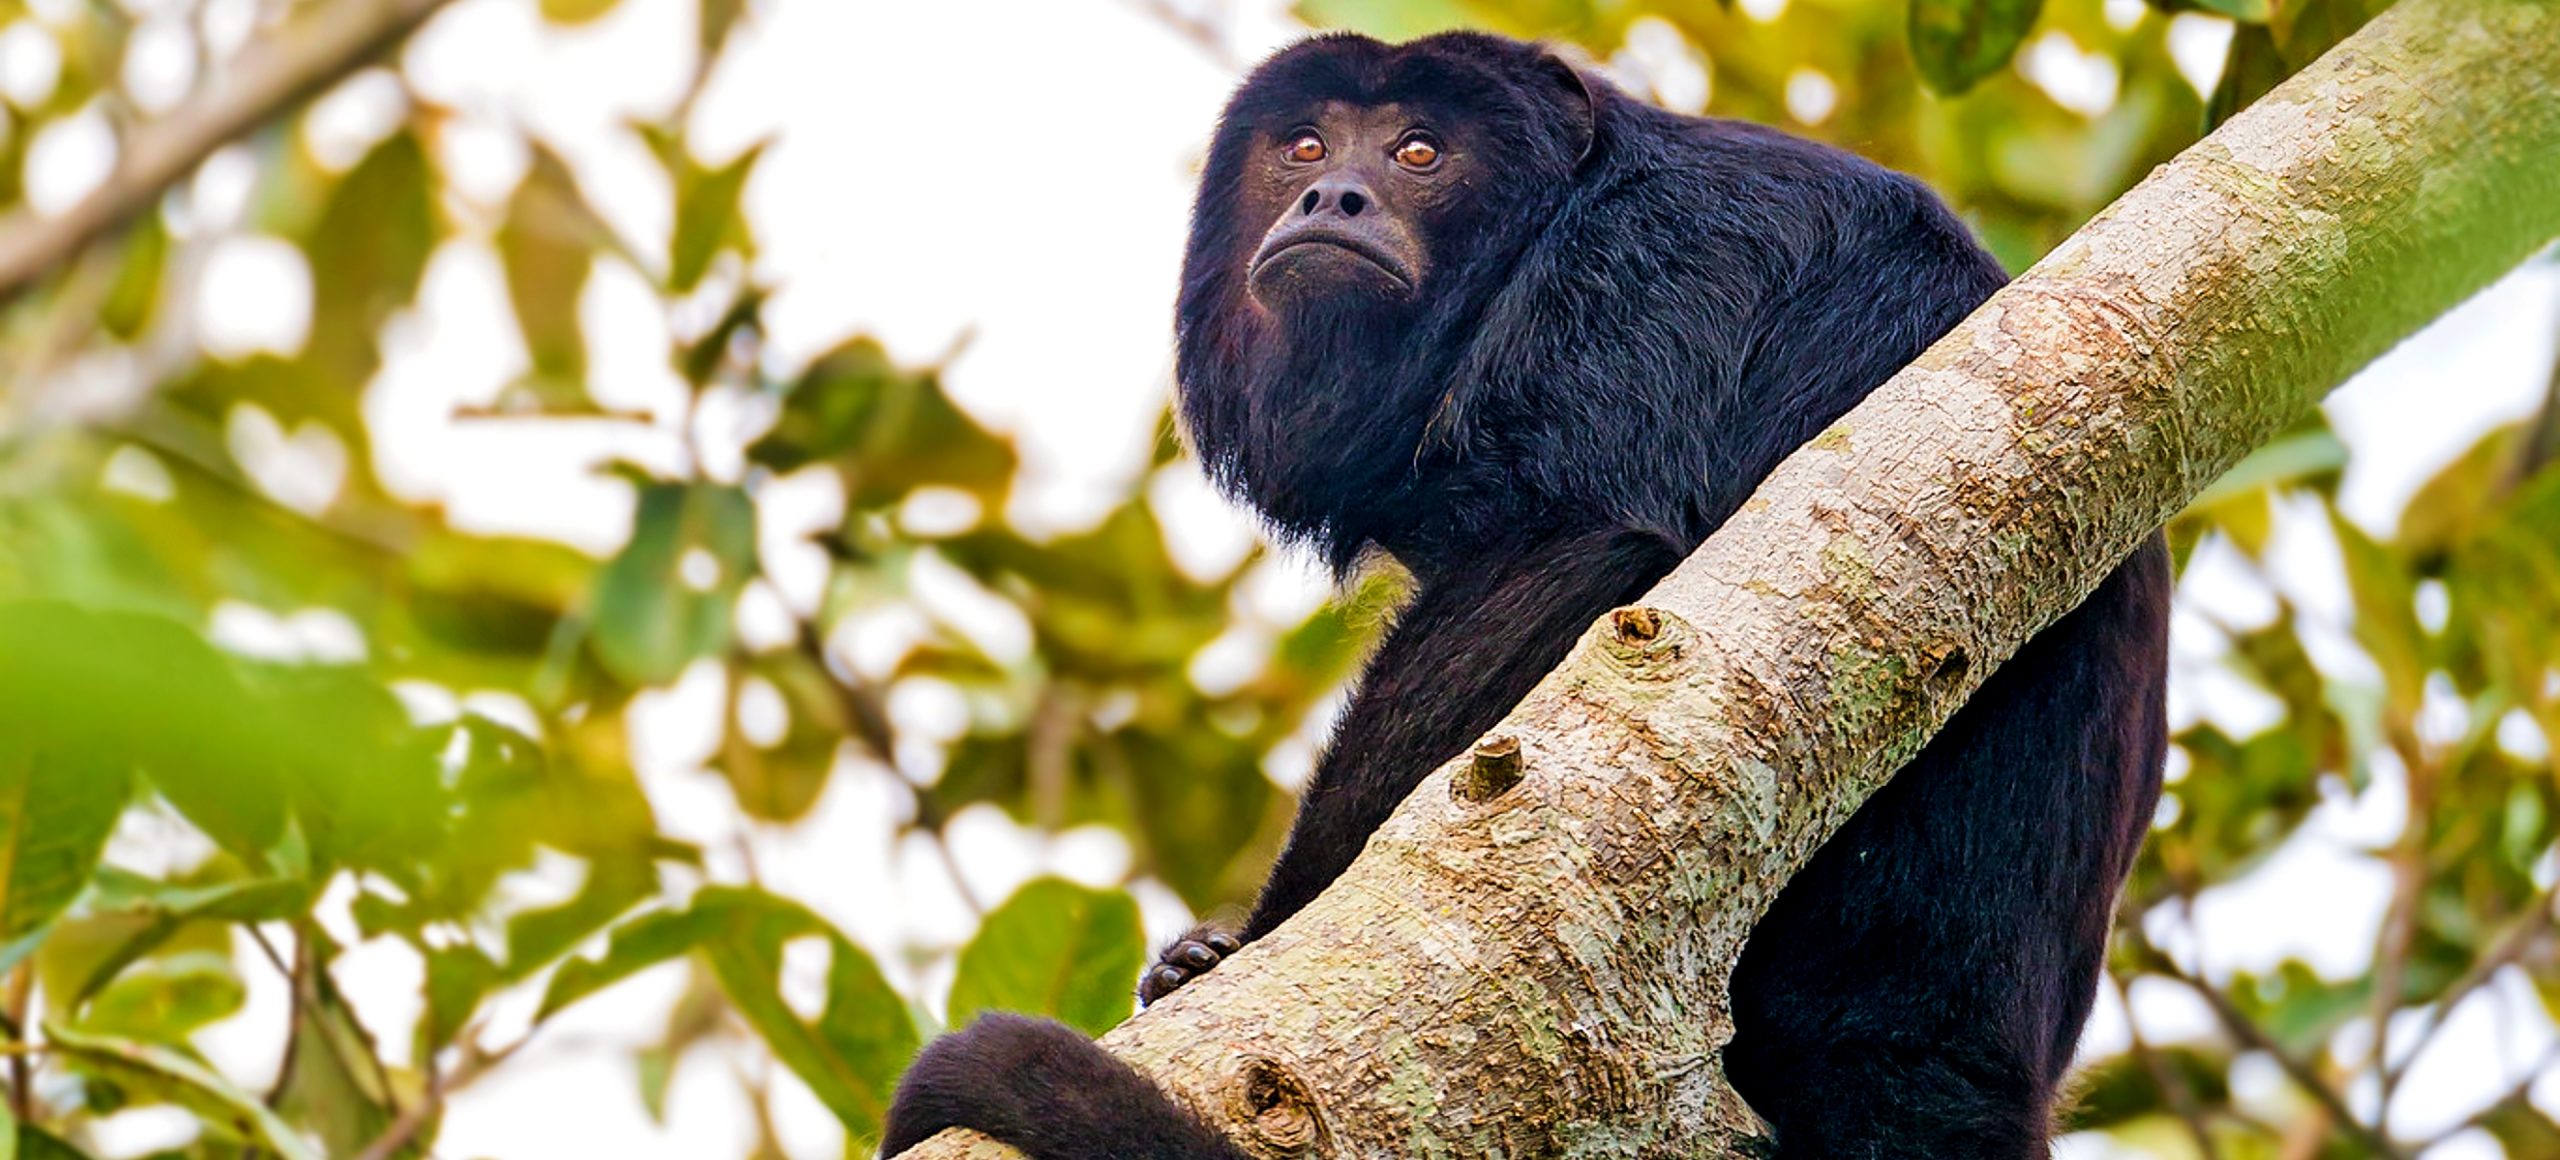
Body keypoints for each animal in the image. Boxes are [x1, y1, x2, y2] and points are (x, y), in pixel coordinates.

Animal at [890, 29, 2170, 1157]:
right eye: (1303, 146)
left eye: (1419, 152)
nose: (1333, 198)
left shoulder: (1657, 257)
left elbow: (1582, 543)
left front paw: (1248, 944)